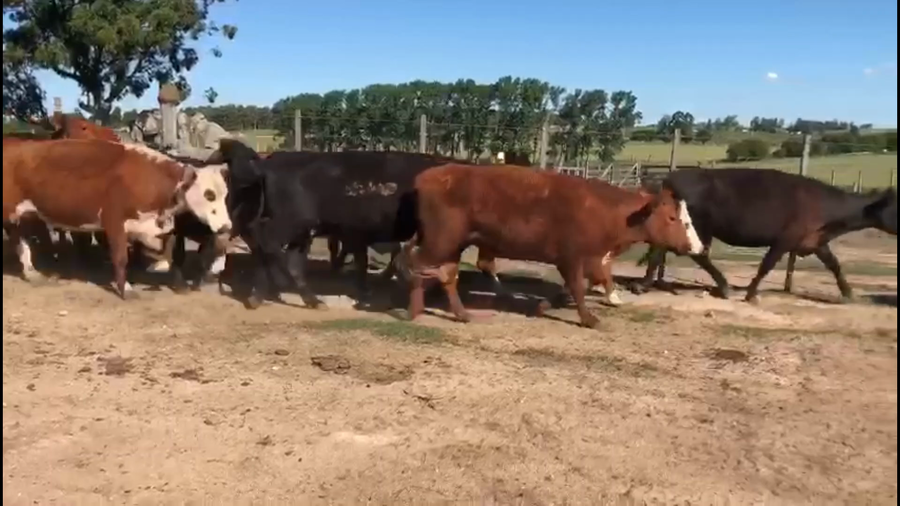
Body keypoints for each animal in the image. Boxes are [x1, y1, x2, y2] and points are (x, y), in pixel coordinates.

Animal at [3, 138, 231, 298]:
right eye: (209, 194)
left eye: (225, 194)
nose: (226, 226)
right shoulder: (114, 221)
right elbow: (121, 258)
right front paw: (126, 290)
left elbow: (171, 252)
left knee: (18, 239)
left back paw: (31, 272)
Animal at [205, 139, 471, 309]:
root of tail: (269, 162)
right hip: (288, 225)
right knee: (268, 247)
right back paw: (264, 295)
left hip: (301, 230)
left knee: (285, 258)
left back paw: (305, 300)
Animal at [395, 163, 704, 329]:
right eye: (674, 218)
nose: (698, 247)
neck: (605, 209)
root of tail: (427, 177)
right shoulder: (574, 257)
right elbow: (577, 288)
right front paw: (588, 318)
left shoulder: (586, 259)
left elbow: (574, 286)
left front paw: (543, 306)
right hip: (439, 242)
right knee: (410, 261)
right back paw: (412, 308)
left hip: (451, 245)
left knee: (446, 274)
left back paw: (460, 313)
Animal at [630, 168, 898, 303]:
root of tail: (672, 176)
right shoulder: (785, 239)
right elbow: (766, 265)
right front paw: (750, 294)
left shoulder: (814, 241)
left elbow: (835, 264)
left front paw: (849, 293)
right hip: (697, 226)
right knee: (695, 254)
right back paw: (723, 286)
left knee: (671, 251)